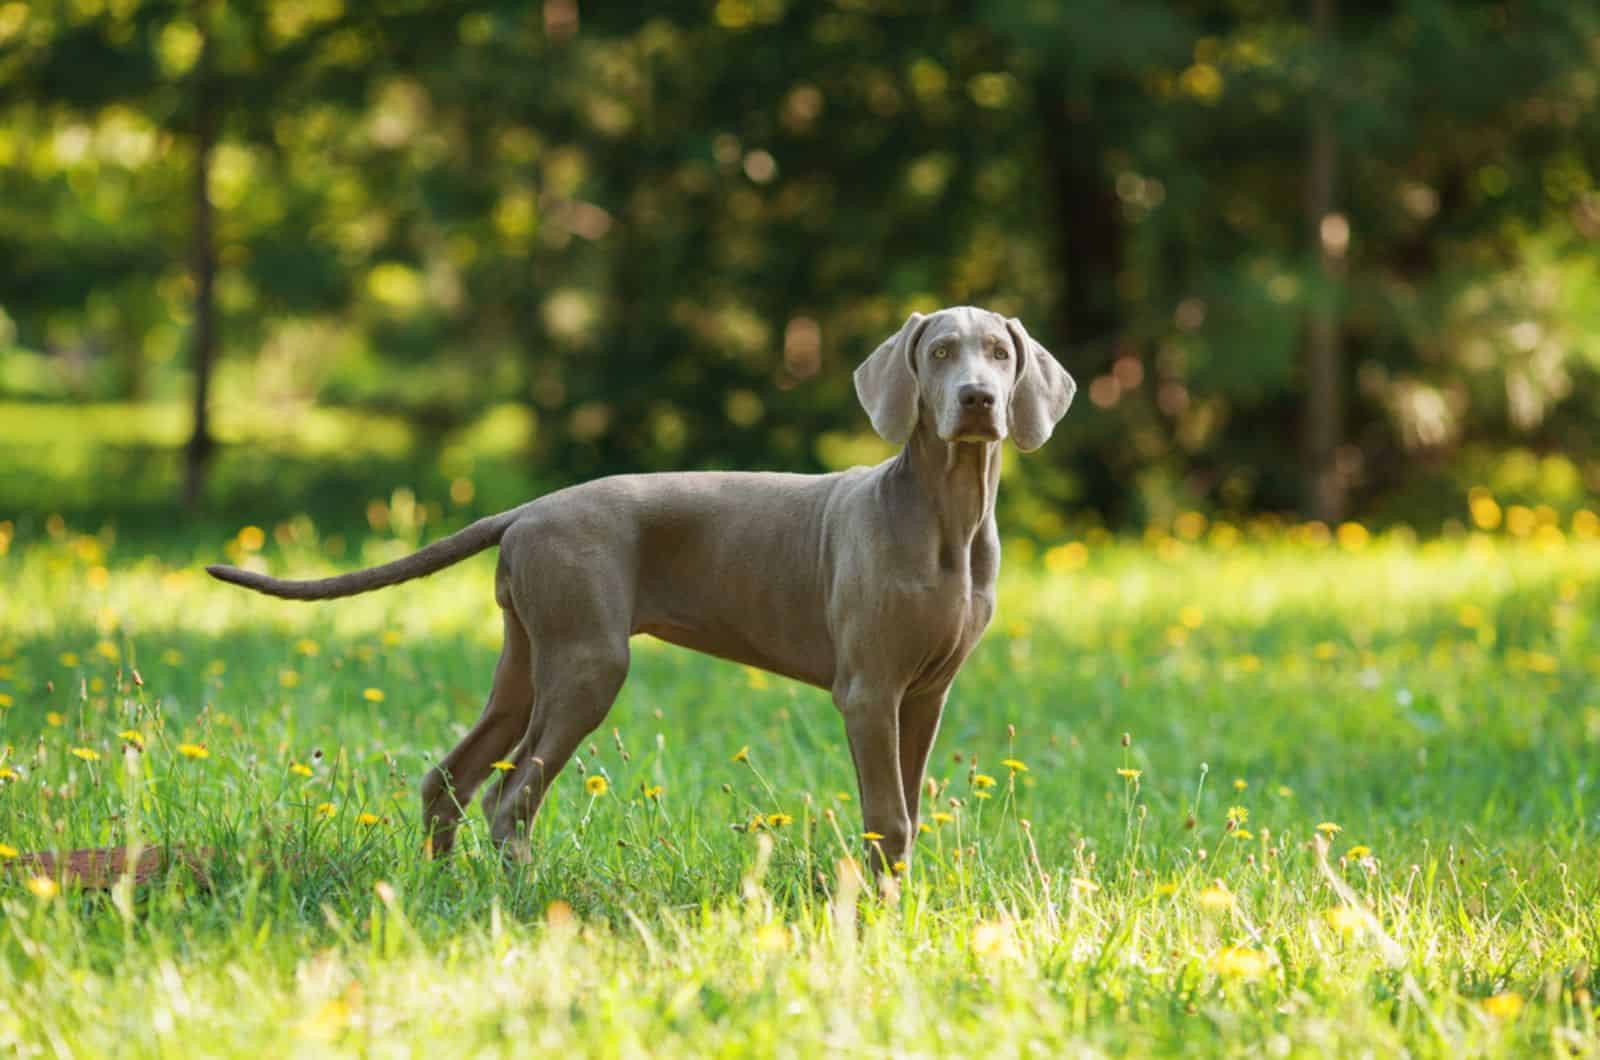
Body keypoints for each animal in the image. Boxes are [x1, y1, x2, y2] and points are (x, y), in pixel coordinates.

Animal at [203, 307, 1075, 871]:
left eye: (999, 353)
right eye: (939, 353)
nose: (978, 400)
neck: (946, 515)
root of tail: (530, 509)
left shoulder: (925, 693)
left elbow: (910, 816)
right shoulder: (868, 691)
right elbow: (885, 818)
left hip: (529, 659)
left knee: (450, 778)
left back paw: (438, 888)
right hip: (589, 660)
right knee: (509, 798)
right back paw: (523, 897)